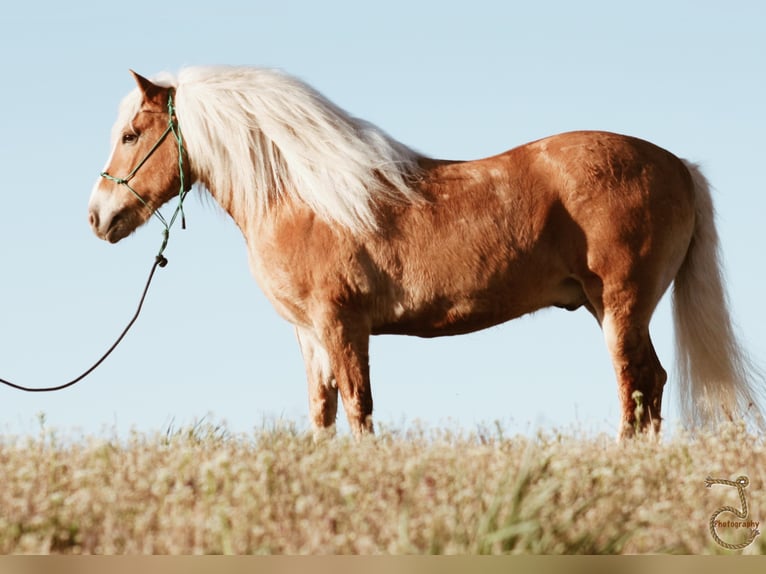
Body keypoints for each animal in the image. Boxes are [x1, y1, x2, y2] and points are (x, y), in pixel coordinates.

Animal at [88, 65, 760, 438]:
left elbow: (358, 408)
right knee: (651, 385)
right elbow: (323, 414)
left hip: (622, 305)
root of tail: (678, 165)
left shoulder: (343, 325)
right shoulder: (310, 336)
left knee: (638, 384)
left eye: (132, 135)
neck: (306, 194)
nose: (97, 217)